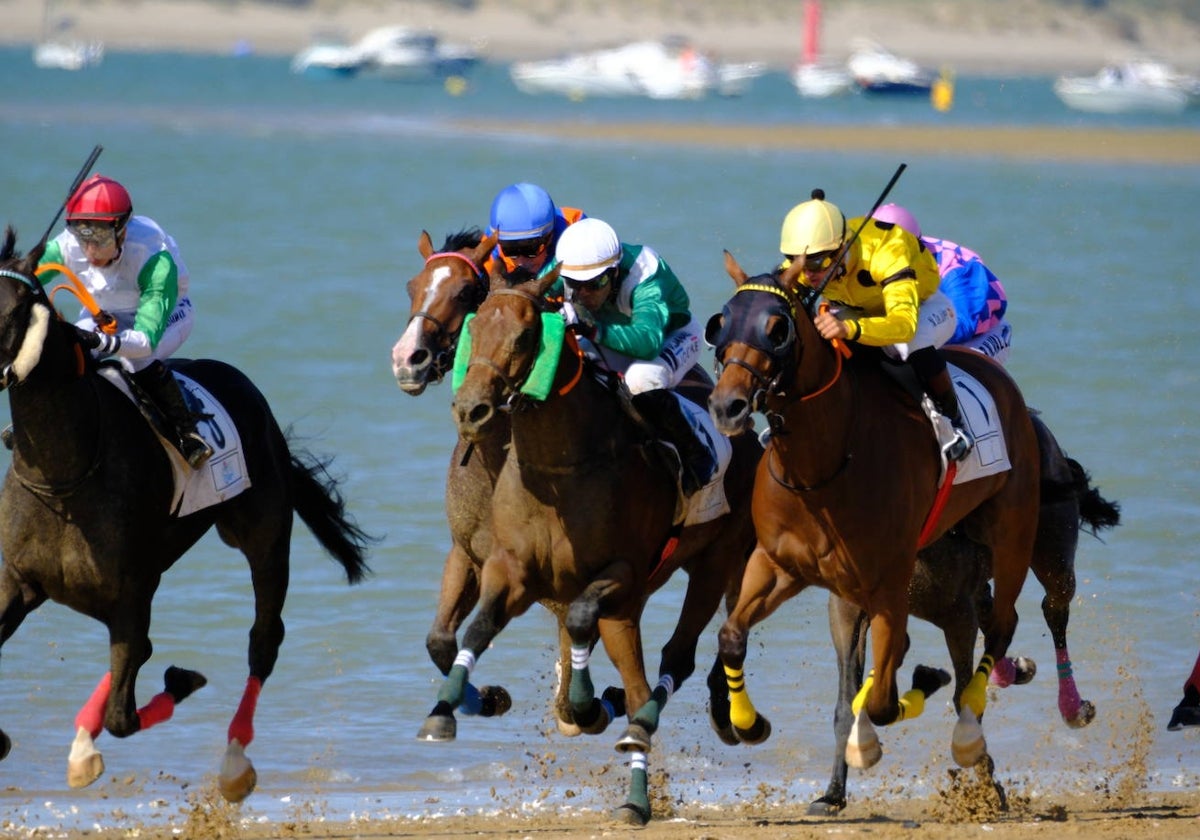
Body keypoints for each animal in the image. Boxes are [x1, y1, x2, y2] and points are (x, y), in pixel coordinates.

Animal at [0, 228, 372, 801]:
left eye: (17, 309)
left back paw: (235, 761)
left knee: (263, 641)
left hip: (263, 538)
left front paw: (182, 681)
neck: (66, 476)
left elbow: (124, 716)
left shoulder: (130, 592)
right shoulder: (19, 582)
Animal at [420, 267, 758, 825]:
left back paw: (640, 779)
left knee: (672, 663)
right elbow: (475, 629)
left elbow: (580, 618)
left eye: (524, 337)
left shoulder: (623, 571)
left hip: (713, 562)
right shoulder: (508, 570)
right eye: (474, 327)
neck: (560, 469)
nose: (471, 409)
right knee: (641, 677)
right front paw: (450, 710)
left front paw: (586, 702)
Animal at [705, 254, 1046, 772]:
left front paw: (909, 696)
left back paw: (968, 731)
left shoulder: (887, 586)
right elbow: (731, 635)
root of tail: (996, 372)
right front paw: (750, 723)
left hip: (1014, 534)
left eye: (776, 328)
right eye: (720, 323)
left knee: (1002, 625)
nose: (728, 406)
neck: (823, 468)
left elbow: (886, 701)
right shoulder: (779, 564)